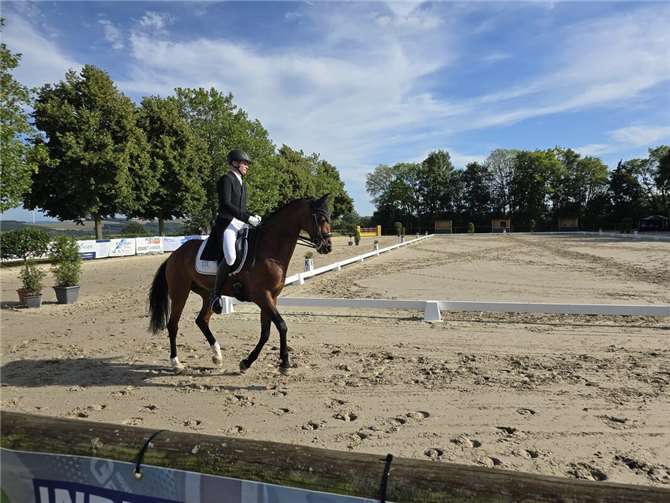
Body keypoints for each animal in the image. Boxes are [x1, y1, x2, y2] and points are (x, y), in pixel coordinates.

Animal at [148, 195, 332, 374]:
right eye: (321, 219)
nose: (327, 247)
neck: (269, 251)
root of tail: (175, 254)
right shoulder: (262, 296)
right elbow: (281, 325)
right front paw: (285, 363)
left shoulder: (271, 297)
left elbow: (265, 333)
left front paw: (246, 362)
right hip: (180, 293)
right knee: (173, 325)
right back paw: (176, 363)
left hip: (207, 294)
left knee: (202, 320)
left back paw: (217, 356)